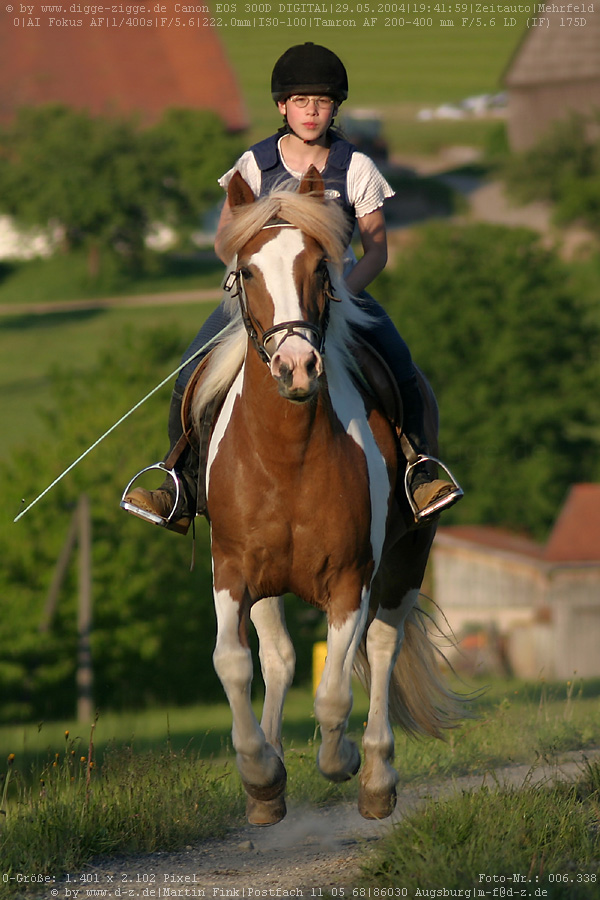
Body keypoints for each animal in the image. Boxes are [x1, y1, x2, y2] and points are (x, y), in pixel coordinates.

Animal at [190, 165, 462, 828]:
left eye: (320, 267)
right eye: (247, 271)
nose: (296, 367)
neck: (286, 456)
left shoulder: (350, 579)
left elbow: (335, 689)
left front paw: (342, 762)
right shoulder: (232, 570)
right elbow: (234, 663)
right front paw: (260, 776)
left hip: (408, 557)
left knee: (383, 646)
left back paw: (376, 775)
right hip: (268, 583)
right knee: (279, 656)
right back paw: (272, 772)